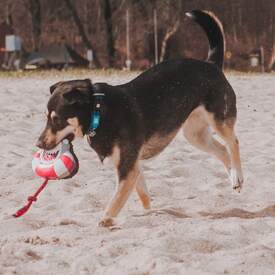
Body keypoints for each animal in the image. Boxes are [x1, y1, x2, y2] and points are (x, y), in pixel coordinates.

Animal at [36, 10, 244, 226]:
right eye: (46, 117)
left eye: (57, 119)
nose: (38, 144)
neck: (99, 112)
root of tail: (211, 64)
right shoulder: (132, 165)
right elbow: (142, 193)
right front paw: (149, 211)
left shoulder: (127, 169)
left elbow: (115, 201)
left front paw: (105, 220)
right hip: (195, 135)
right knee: (222, 150)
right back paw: (234, 180)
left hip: (219, 120)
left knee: (233, 143)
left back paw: (237, 174)